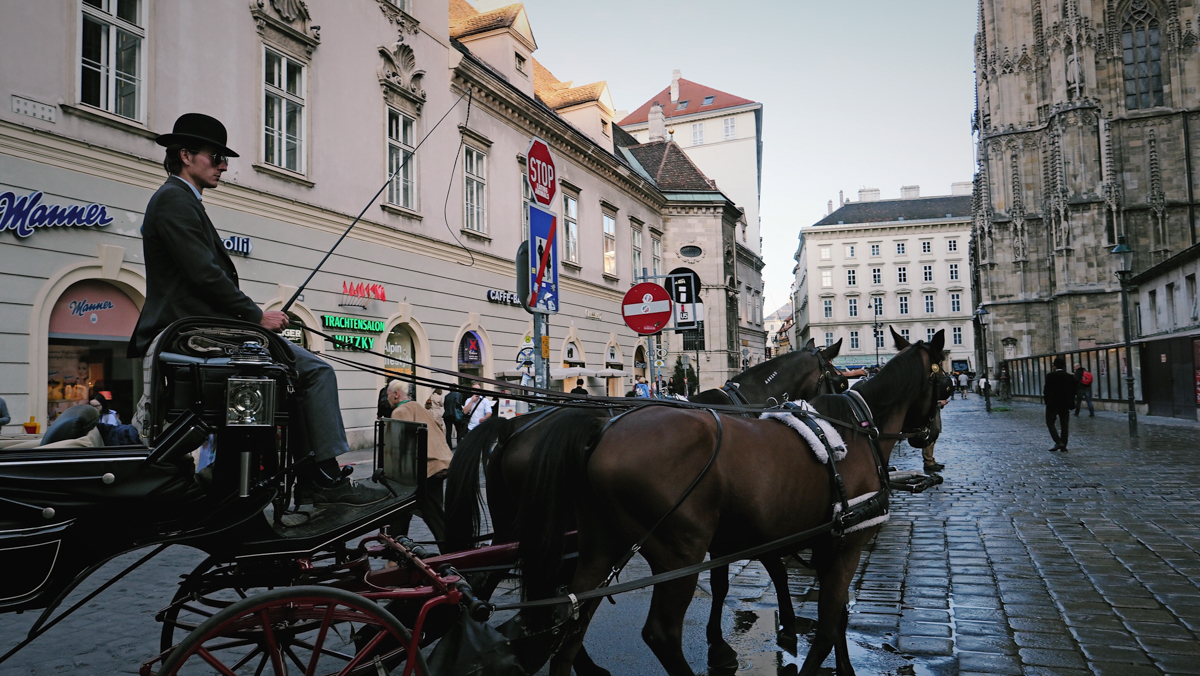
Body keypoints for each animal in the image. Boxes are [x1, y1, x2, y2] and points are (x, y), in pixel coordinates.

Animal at [516, 326, 945, 672]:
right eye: (838, 381)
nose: (931, 434)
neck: (855, 430)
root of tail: (601, 431)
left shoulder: (809, 541)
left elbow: (830, 615)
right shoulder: (839, 544)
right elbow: (821, 622)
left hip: (599, 548)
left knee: (573, 620)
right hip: (679, 554)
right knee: (659, 633)